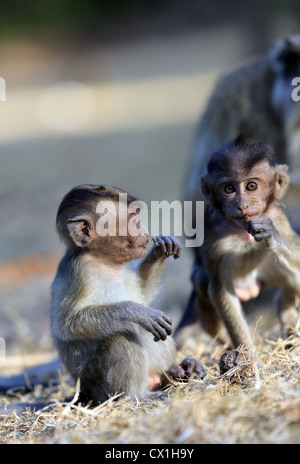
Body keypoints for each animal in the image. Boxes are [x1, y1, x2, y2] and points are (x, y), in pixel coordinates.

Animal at [51, 185, 205, 406]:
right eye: (133, 220)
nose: (145, 232)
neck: (104, 262)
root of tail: (85, 392)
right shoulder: (79, 273)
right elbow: (67, 325)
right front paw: (138, 312)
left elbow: (143, 291)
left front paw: (162, 248)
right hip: (97, 384)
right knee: (121, 339)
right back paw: (139, 396)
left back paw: (179, 372)